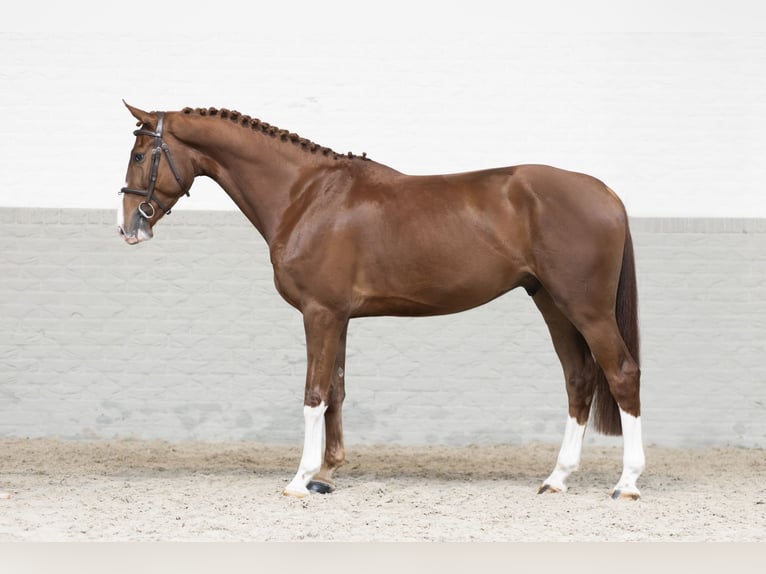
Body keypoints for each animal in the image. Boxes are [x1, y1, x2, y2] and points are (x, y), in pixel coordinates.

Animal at [118, 102, 648, 500]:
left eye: (141, 154)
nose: (129, 226)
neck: (307, 195)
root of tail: (605, 192)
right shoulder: (339, 317)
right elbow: (335, 390)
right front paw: (326, 474)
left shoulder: (320, 314)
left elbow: (313, 393)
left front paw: (299, 479)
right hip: (553, 305)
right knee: (579, 379)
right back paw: (557, 479)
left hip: (586, 309)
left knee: (621, 374)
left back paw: (626, 484)